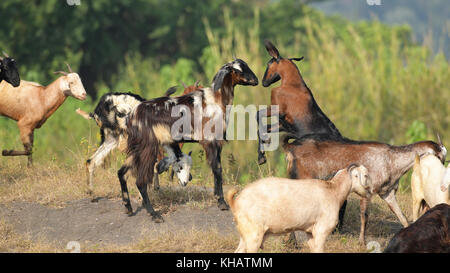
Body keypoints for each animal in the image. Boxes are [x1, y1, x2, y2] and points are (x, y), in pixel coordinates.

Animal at [118, 59, 258, 221]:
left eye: (245, 65)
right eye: (237, 70)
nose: (255, 80)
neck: (216, 99)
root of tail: (131, 116)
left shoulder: (216, 143)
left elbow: (216, 167)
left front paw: (217, 196)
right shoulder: (210, 141)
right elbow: (217, 168)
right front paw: (221, 202)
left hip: (137, 150)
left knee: (121, 172)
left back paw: (128, 208)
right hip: (148, 148)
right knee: (140, 181)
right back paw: (154, 214)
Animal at [227, 163, 370, 252]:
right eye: (365, 175)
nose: (369, 190)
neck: (333, 190)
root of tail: (236, 201)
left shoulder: (310, 233)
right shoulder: (322, 230)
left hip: (245, 235)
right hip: (253, 235)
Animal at [284, 133, 446, 242]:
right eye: (440, 156)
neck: (392, 160)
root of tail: (291, 147)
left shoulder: (387, 193)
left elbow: (402, 216)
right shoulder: (367, 192)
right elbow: (364, 216)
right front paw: (362, 241)